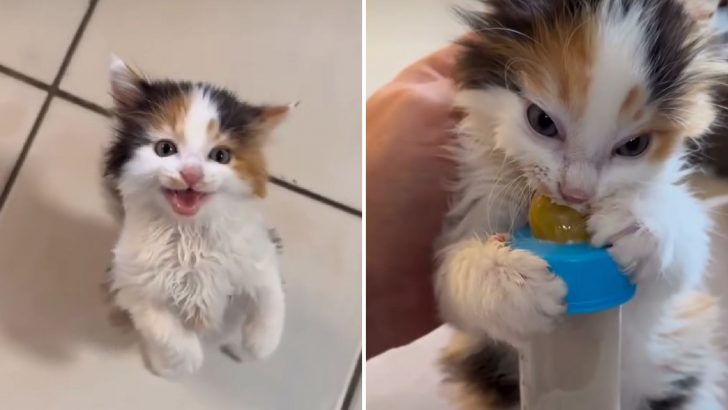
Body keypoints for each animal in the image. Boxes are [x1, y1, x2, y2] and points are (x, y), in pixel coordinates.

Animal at [103, 58, 290, 378]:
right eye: (165, 149)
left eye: (221, 156)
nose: (191, 174)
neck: (191, 235)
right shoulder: (134, 283)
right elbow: (166, 330)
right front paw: (186, 362)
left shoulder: (258, 255)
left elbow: (271, 298)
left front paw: (256, 346)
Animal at [436, 1, 724, 408]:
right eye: (541, 121)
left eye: (633, 146)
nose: (576, 193)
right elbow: (452, 285)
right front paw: (511, 282)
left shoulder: (672, 295)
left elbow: (684, 258)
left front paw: (637, 221)